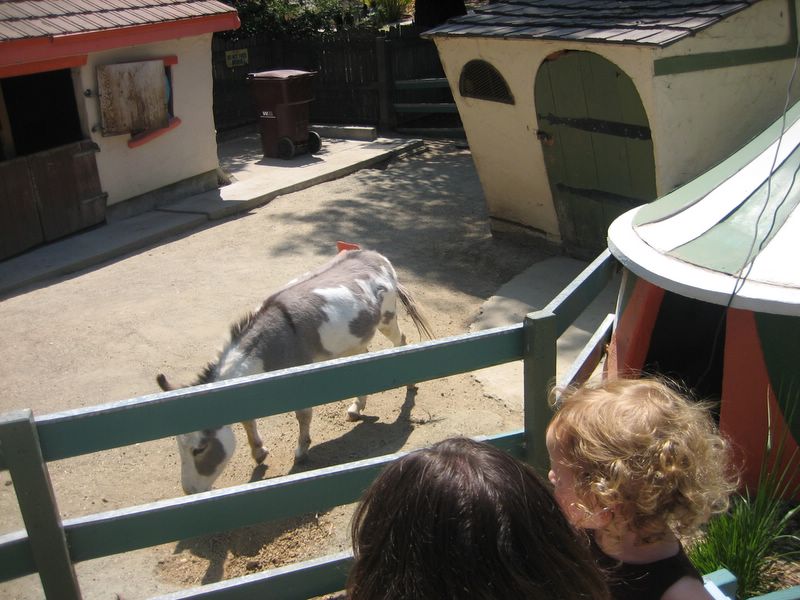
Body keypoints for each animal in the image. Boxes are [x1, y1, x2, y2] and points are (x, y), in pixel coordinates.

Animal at [156, 249, 433, 494]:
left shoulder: (299, 380)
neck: (270, 345)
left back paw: (410, 384)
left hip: (387, 319)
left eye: (199, 449)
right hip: (353, 340)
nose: (190, 491)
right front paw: (259, 452)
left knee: (401, 341)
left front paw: (301, 452)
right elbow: (248, 419)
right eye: (178, 445)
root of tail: (373, 254)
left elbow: (303, 415)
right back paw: (357, 408)